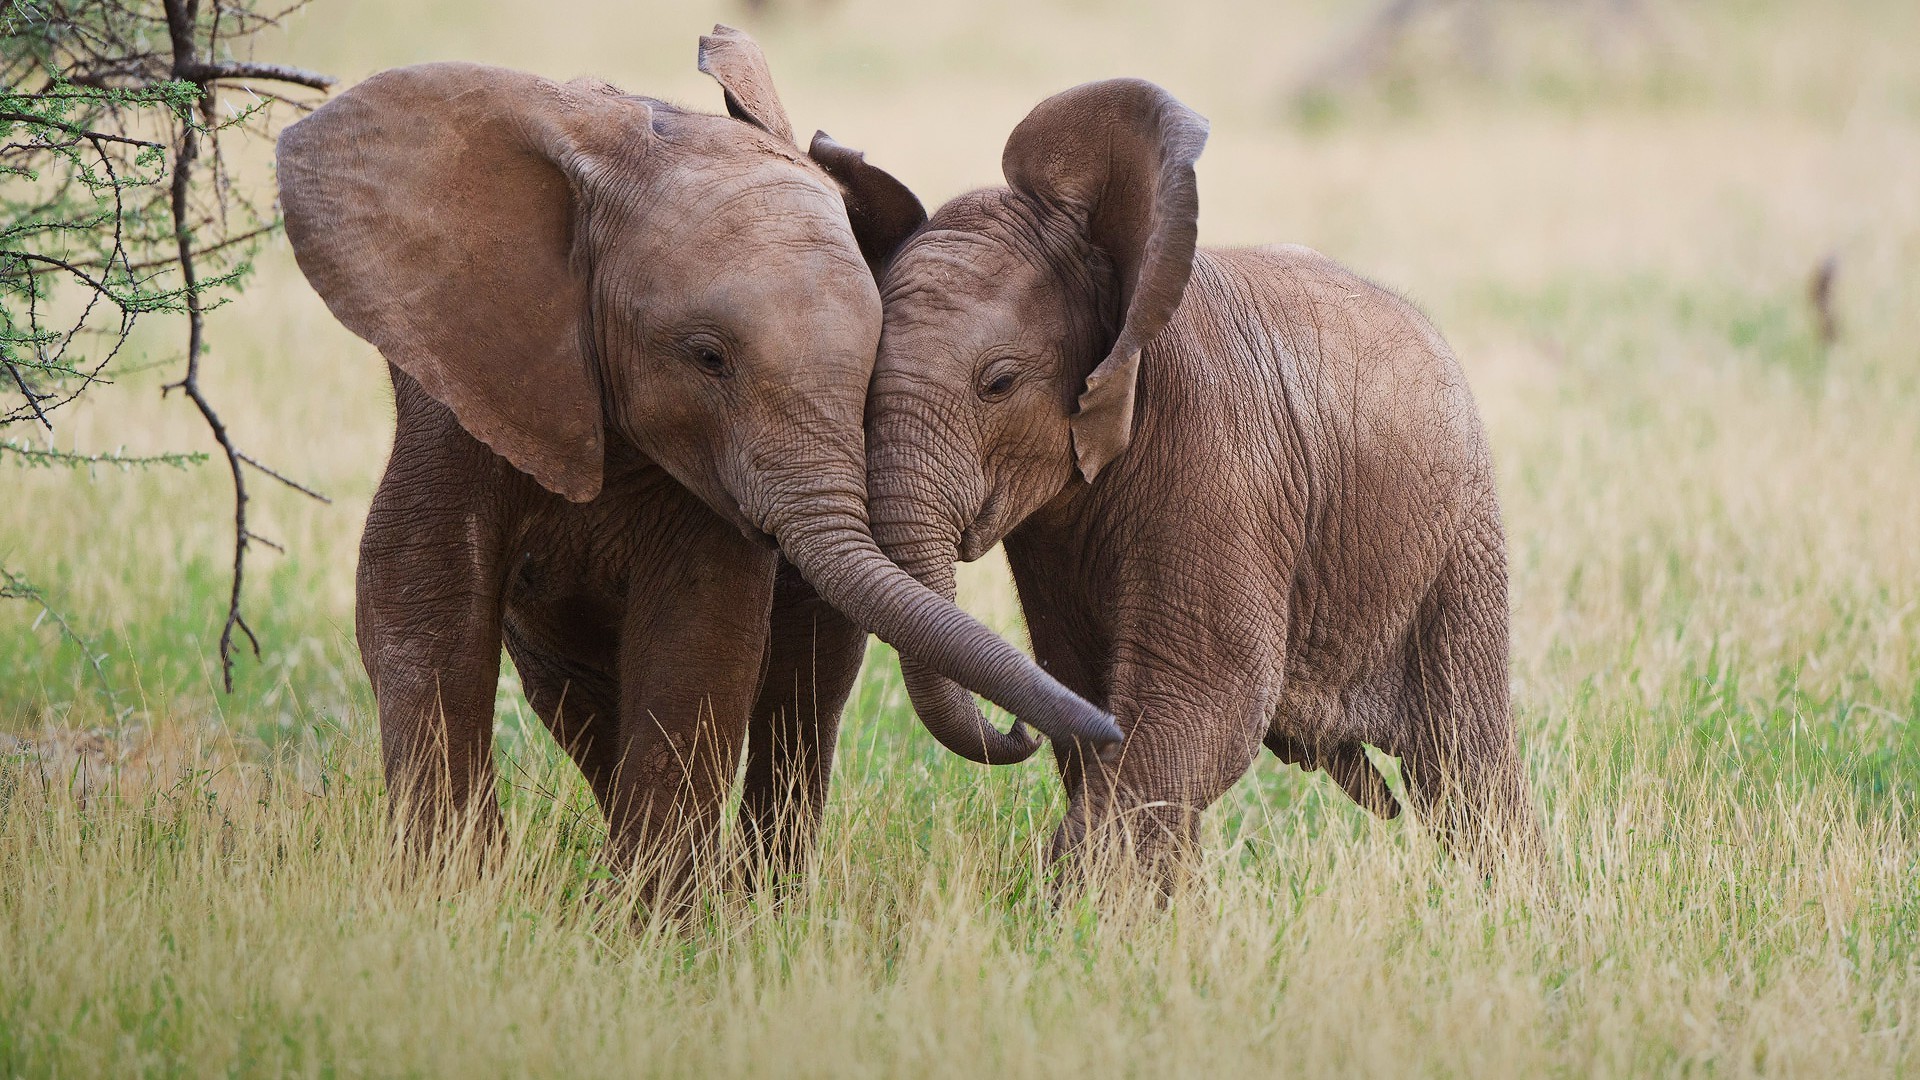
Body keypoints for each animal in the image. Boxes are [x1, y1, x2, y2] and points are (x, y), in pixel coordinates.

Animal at [276, 27, 1119, 898]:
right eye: (708, 358)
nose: (1042, 729)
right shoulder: (461, 378)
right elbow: (419, 590)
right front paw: (454, 893)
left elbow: (699, 626)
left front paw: (653, 918)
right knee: (574, 691)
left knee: (803, 686)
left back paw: (761, 899)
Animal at [862, 78, 1538, 883]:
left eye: (997, 384)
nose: (1013, 728)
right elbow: (1090, 698)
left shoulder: (1219, 463)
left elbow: (1202, 707)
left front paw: (1071, 908)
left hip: (1459, 539)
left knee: (1461, 759)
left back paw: (1509, 895)